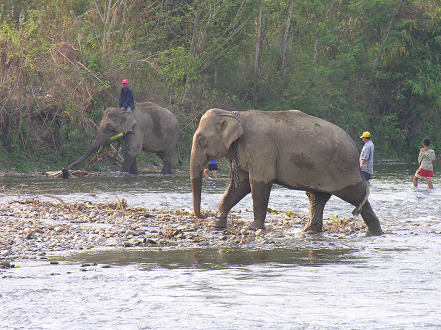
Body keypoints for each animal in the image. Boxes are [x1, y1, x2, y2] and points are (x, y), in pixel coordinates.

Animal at [191, 109, 384, 236]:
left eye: (200, 139)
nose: (203, 216)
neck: (234, 114)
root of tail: (353, 145)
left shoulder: (261, 146)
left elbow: (258, 182)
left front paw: (254, 228)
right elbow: (239, 186)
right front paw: (216, 224)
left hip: (341, 168)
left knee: (355, 194)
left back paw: (375, 233)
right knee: (316, 197)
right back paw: (308, 231)